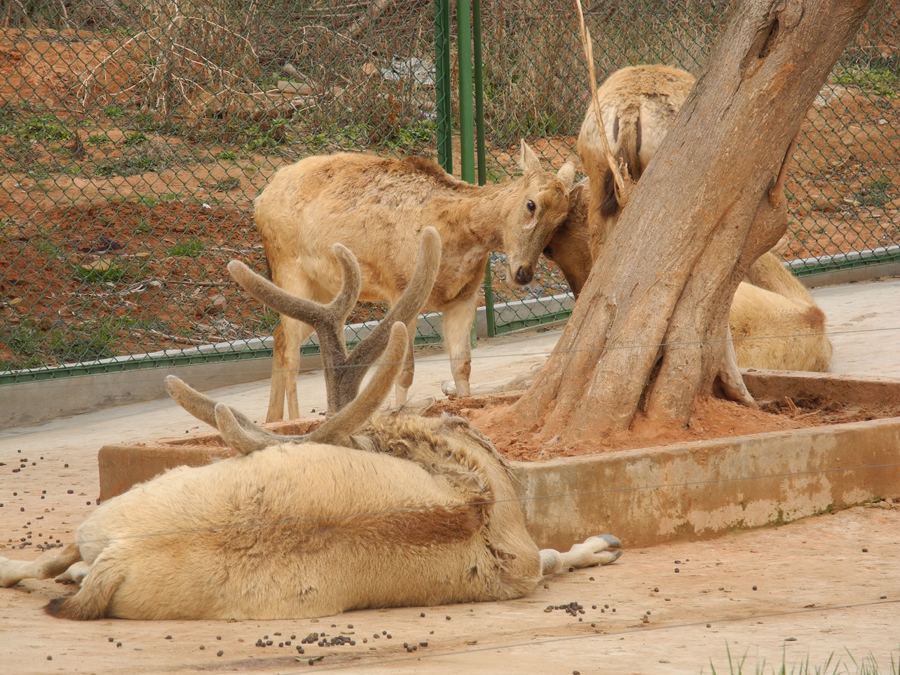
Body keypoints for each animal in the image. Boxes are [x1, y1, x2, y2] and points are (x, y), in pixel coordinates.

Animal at [0, 231, 624, 624]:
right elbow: (552, 557)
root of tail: (117, 559)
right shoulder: (518, 562)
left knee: (49, 560)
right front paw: (602, 543)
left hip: (132, 499)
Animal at [255, 141, 576, 420]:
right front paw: (399, 411)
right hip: (289, 270)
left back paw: (272, 418)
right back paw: (292, 420)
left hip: (322, 288)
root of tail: (260, 200)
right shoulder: (401, 289)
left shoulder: (464, 297)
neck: (457, 237)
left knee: (279, 336)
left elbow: (462, 365)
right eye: (531, 204)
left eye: (562, 221)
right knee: (291, 352)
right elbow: (404, 371)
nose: (523, 273)